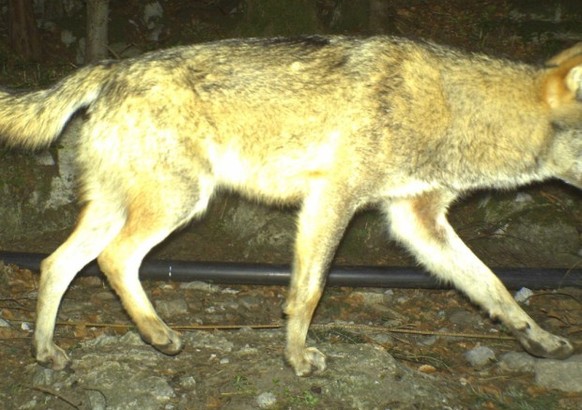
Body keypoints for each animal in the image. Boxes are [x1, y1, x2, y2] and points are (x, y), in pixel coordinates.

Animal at [1, 35, 582, 374]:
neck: (452, 110)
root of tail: (108, 70)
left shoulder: (417, 221)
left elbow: (495, 287)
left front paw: (542, 340)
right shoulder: (333, 199)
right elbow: (309, 291)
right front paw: (297, 357)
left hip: (120, 209)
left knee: (55, 264)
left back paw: (47, 352)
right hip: (179, 203)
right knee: (113, 260)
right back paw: (158, 335)